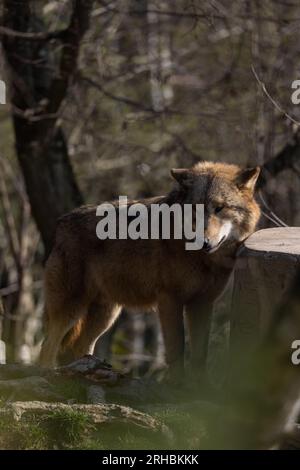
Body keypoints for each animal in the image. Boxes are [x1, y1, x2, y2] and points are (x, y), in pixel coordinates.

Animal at [39, 162, 260, 378]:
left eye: (219, 208)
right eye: (194, 209)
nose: (202, 242)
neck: (203, 259)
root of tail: (61, 223)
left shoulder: (202, 303)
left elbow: (199, 355)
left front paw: (197, 386)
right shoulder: (169, 300)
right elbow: (177, 350)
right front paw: (176, 384)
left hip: (106, 315)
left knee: (79, 346)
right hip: (70, 309)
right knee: (47, 347)